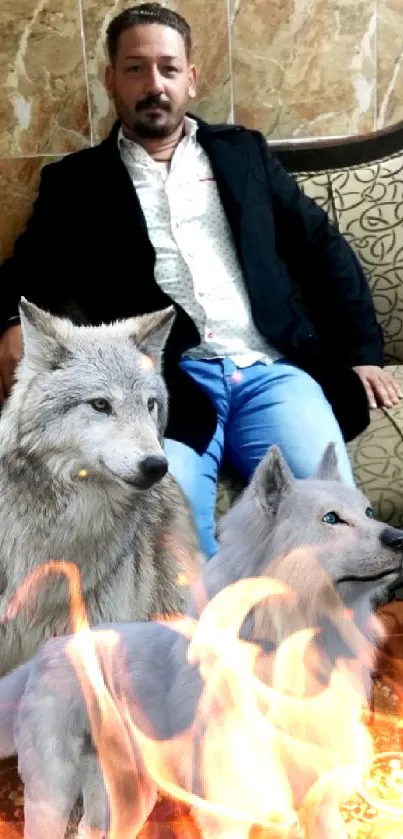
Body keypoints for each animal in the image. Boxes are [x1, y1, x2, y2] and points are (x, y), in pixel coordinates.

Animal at [0, 442, 400, 836]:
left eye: (368, 512)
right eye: (331, 519)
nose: (398, 537)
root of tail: (47, 651)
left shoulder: (320, 799)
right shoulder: (228, 806)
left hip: (125, 799)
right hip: (53, 794)